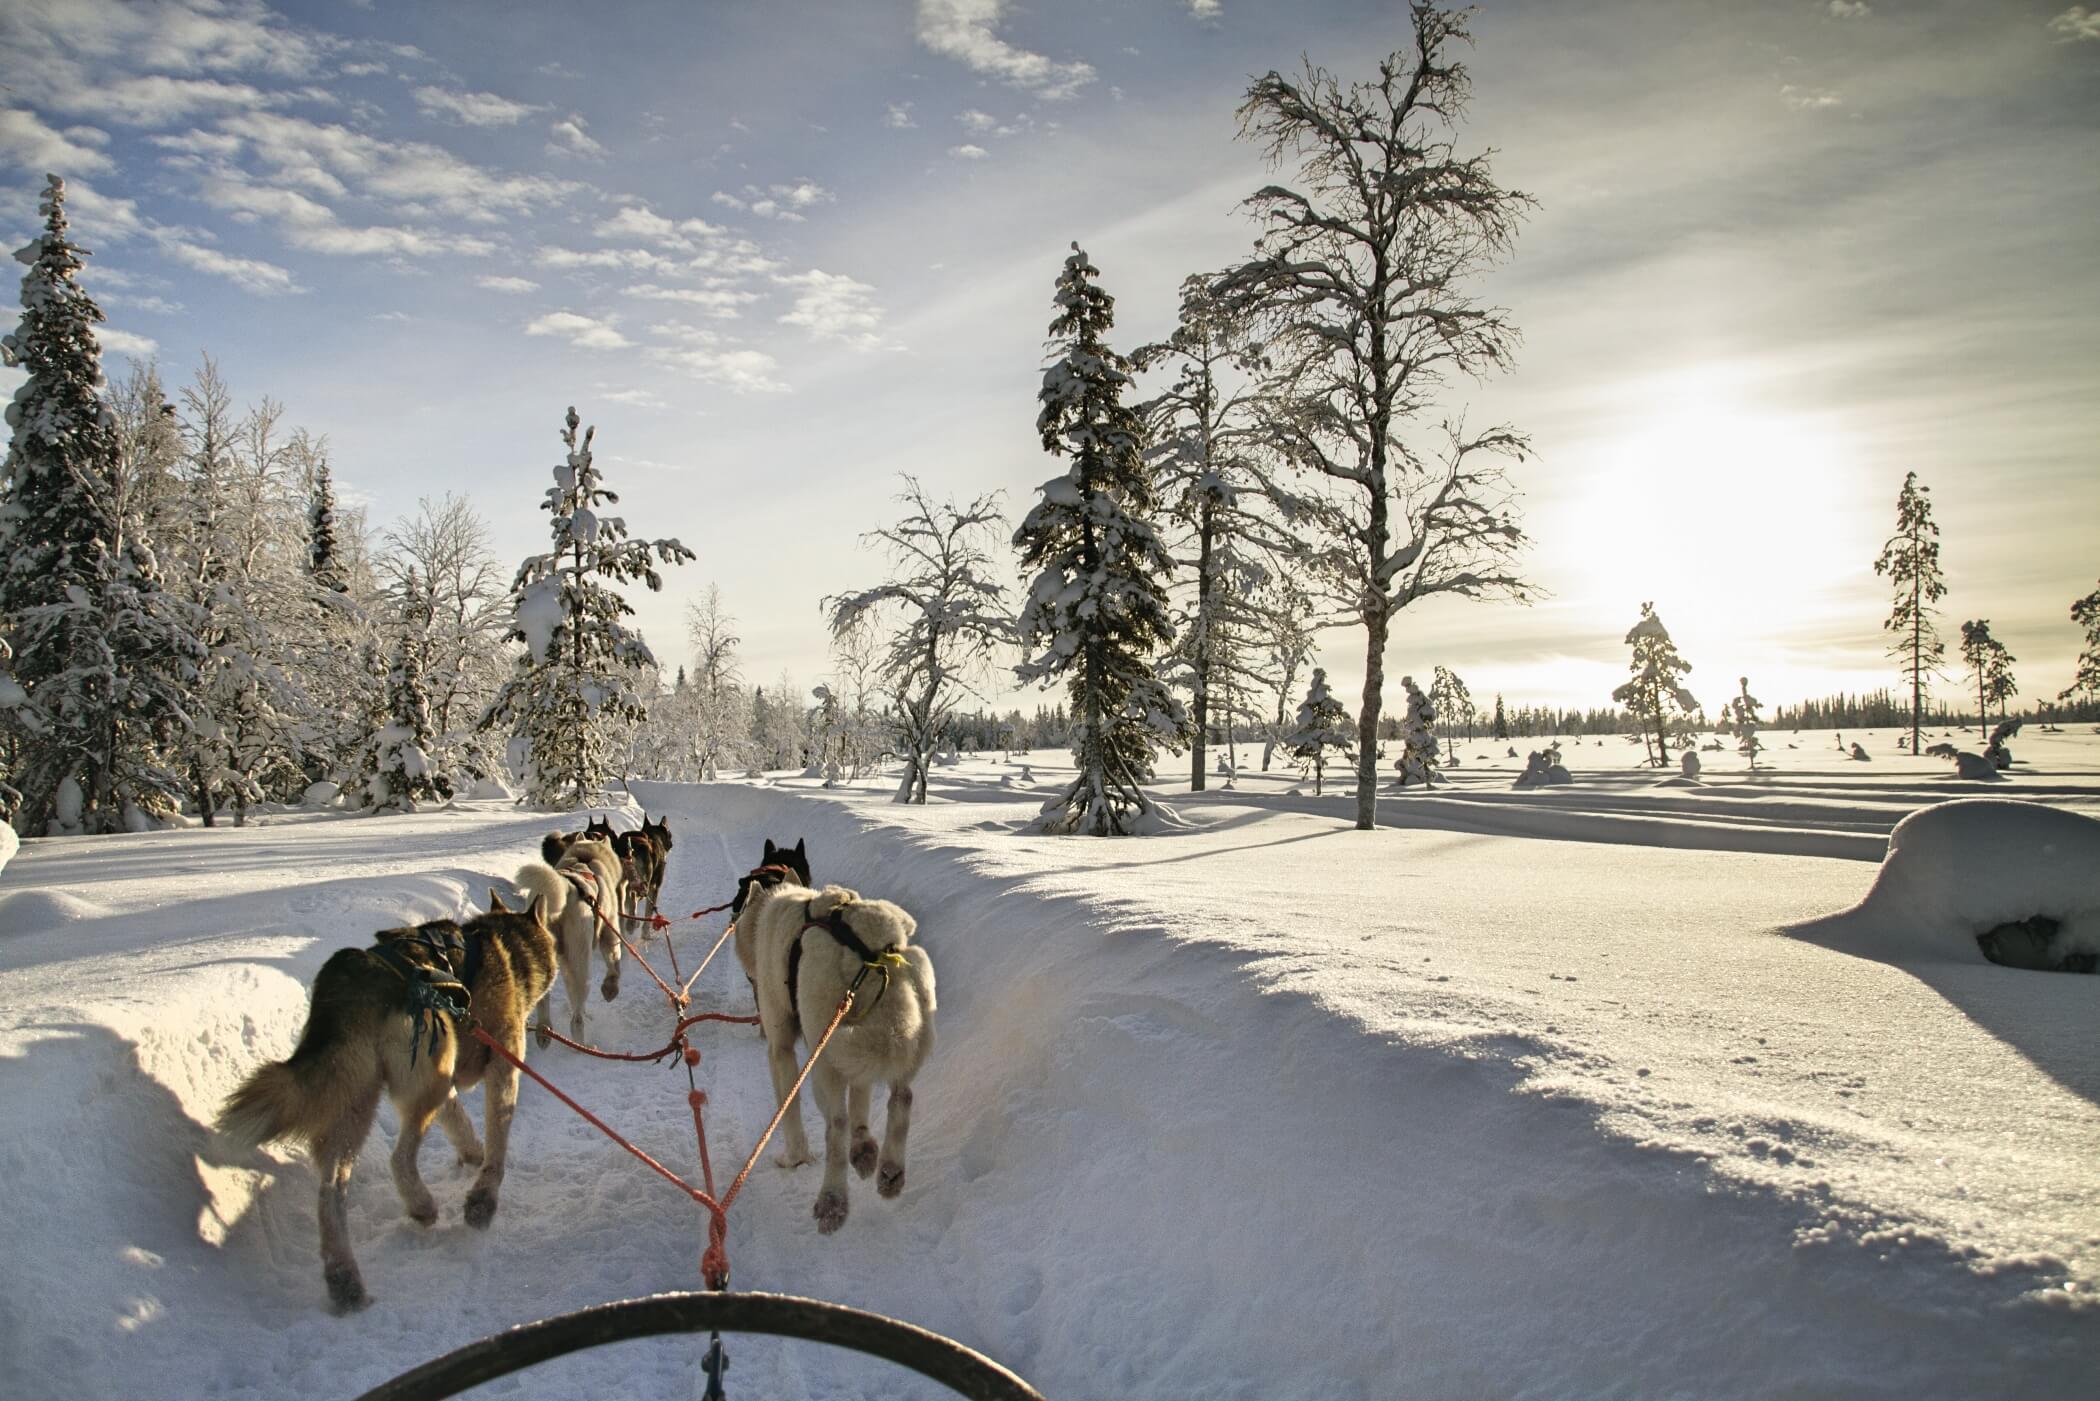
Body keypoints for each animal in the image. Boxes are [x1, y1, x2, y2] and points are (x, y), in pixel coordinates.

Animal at [216, 894, 559, 1311]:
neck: (502, 946)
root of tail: (355, 978)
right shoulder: (502, 1067)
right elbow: (497, 1143)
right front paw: (483, 1197)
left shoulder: (448, 1084)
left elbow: (460, 1123)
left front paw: (471, 1155)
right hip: (426, 1080)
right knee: (399, 1159)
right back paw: (421, 1206)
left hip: (358, 1103)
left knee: (331, 1189)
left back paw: (345, 1280)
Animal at [517, 836, 625, 1048]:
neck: (586, 857)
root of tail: (565, 886)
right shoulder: (610, 933)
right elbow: (614, 966)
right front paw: (610, 989)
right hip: (579, 964)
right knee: (576, 1016)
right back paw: (581, 1044)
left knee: (543, 1001)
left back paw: (543, 1030)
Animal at [736, 879, 935, 1234]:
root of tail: (877, 954)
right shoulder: (857, 1065)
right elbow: (861, 1100)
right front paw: (864, 1146)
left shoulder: (780, 1049)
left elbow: (790, 1109)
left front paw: (794, 1158)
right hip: (901, 1035)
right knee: (901, 1099)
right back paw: (889, 1171)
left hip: (823, 1053)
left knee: (836, 1126)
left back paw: (833, 1201)